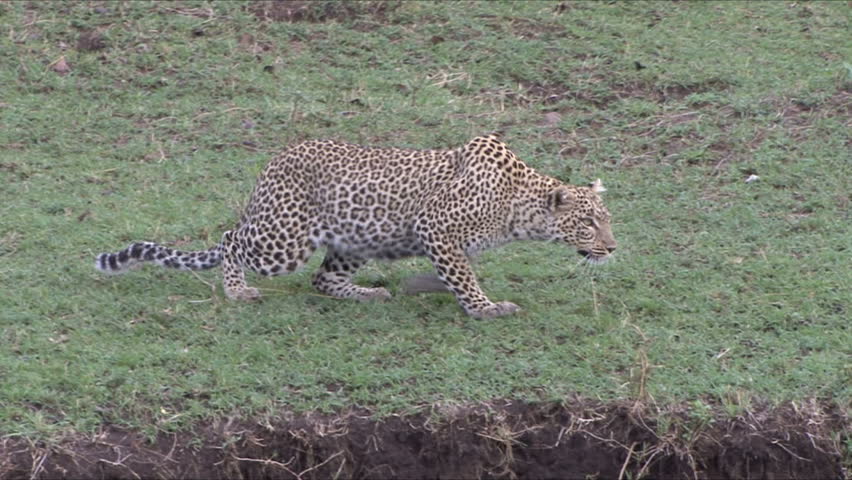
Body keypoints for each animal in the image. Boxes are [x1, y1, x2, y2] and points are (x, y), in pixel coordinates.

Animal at [95, 133, 616, 318]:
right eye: (590, 223)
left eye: (606, 221)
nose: (612, 249)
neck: (518, 208)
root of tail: (273, 164)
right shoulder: (436, 228)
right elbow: (465, 277)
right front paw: (484, 308)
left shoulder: (446, 243)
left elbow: (456, 272)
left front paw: (424, 286)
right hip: (282, 241)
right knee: (231, 240)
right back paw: (237, 290)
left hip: (352, 242)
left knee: (323, 280)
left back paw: (369, 293)